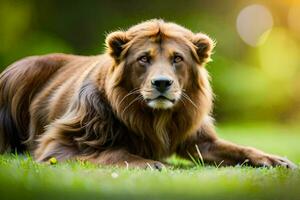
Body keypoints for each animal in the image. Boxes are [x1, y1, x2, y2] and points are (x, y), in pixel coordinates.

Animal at [0, 18, 296, 170]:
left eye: (177, 58)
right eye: (144, 59)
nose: (162, 83)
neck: (156, 116)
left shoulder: (197, 138)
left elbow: (238, 148)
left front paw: (275, 159)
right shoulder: (58, 143)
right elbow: (113, 152)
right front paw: (149, 162)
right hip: (24, 72)